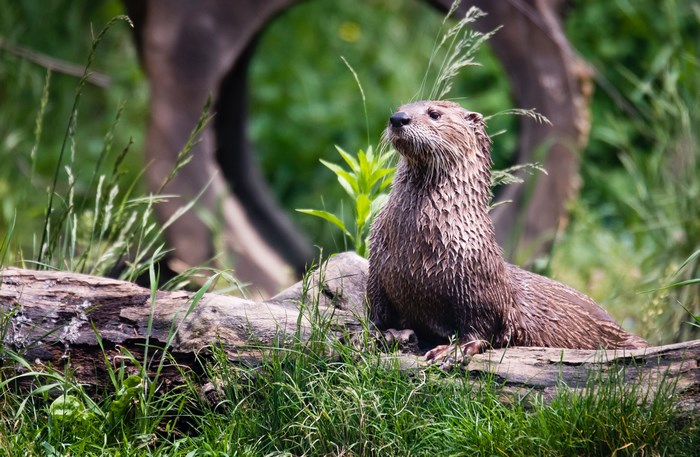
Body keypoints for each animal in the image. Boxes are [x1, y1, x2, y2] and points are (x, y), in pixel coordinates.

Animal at [367, 100, 647, 364]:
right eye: (400, 108)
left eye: (434, 113)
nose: (398, 118)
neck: (416, 247)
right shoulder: (377, 271)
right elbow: (377, 313)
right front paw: (380, 335)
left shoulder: (478, 284)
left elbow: (481, 327)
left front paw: (452, 351)